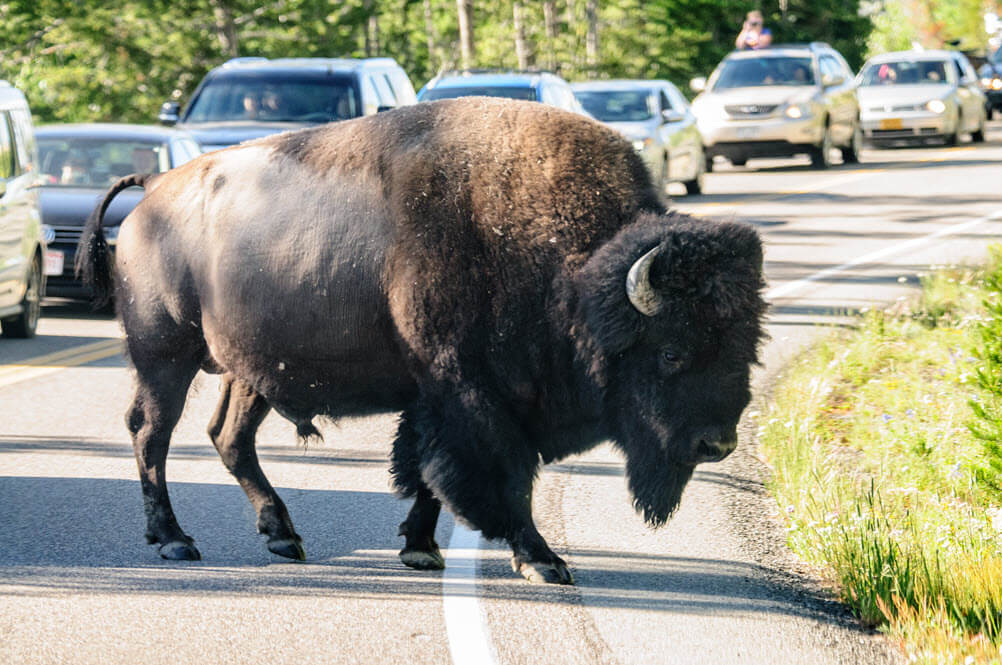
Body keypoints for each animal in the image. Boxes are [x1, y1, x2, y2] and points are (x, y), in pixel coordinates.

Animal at [78, 97, 765, 580]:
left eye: (746, 347)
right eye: (672, 351)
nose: (718, 444)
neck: (570, 269)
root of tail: (152, 190)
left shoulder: (434, 397)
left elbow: (425, 474)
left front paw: (420, 548)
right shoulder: (474, 397)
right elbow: (494, 476)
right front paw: (544, 560)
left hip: (249, 372)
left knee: (228, 436)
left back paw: (283, 536)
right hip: (165, 355)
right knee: (151, 432)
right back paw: (174, 541)